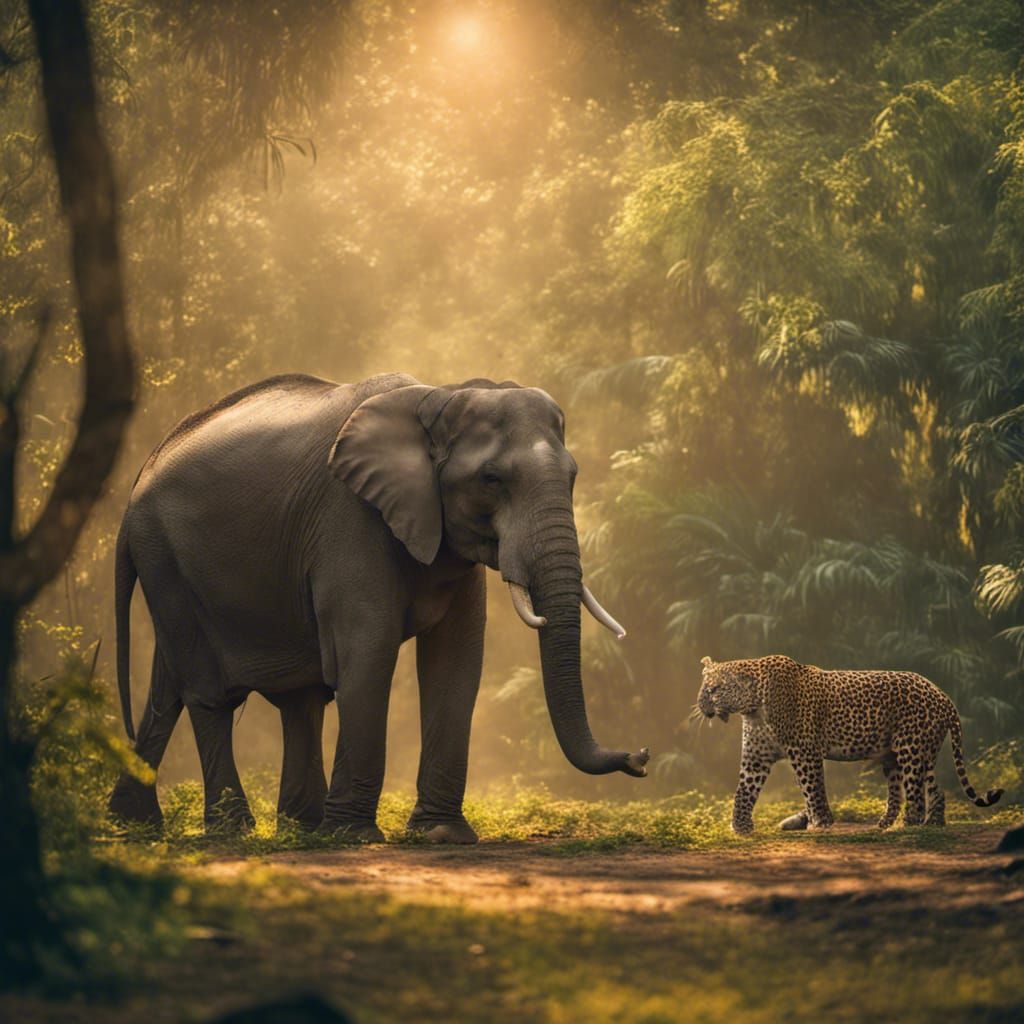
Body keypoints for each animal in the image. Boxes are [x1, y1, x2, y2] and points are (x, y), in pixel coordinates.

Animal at [108, 372, 649, 843]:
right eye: (492, 478)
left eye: (573, 476)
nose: (639, 756)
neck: (440, 394)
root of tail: (137, 481)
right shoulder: (349, 518)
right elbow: (368, 652)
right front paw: (354, 835)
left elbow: (456, 662)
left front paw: (440, 835)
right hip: (164, 558)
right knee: (208, 693)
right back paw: (233, 831)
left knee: (211, 692)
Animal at [695, 654, 1003, 834]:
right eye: (703, 689)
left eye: (715, 689)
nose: (700, 705)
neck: (752, 708)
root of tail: (944, 696)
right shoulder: (756, 757)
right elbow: (744, 790)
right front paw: (741, 827)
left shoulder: (804, 751)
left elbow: (812, 787)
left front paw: (821, 823)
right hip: (909, 753)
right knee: (930, 790)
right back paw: (919, 824)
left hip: (911, 748)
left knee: (915, 792)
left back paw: (909, 825)